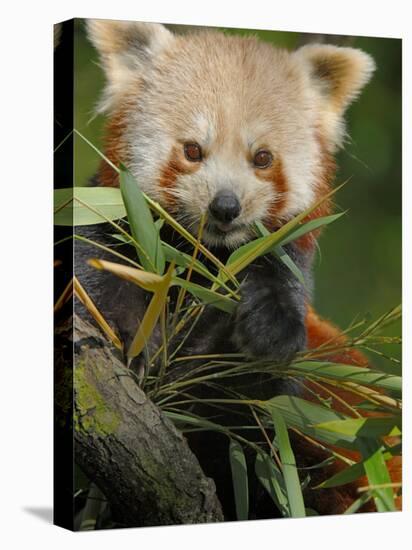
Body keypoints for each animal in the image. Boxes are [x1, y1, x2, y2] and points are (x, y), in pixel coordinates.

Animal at [75, 19, 400, 520]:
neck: (202, 260)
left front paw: (267, 331)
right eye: (192, 150)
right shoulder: (112, 229)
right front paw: (130, 337)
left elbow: (258, 394)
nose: (225, 207)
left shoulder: (278, 267)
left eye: (262, 158)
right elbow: (96, 282)